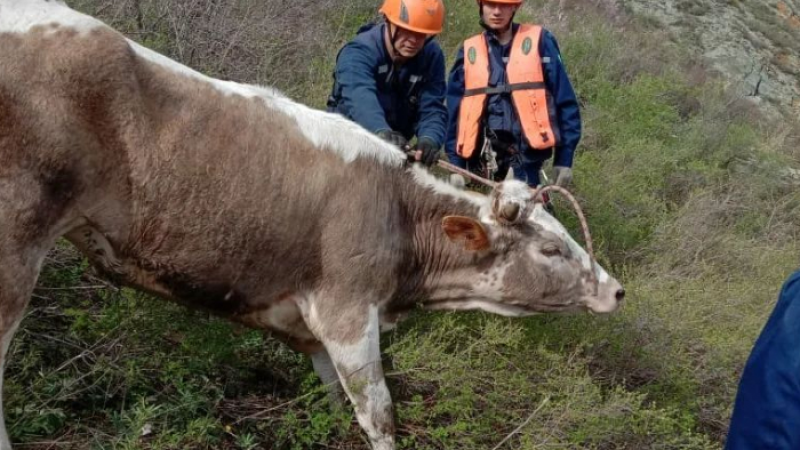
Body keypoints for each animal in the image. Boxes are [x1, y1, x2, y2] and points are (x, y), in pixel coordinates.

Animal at [0, 1, 624, 448]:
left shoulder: (306, 326)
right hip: (16, 242)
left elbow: (336, 402)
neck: (399, 211)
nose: (616, 289)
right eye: (550, 250)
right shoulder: (347, 308)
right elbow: (379, 415)